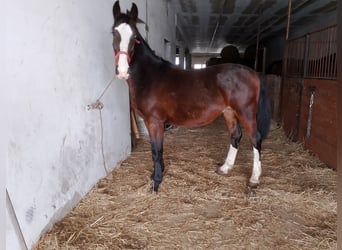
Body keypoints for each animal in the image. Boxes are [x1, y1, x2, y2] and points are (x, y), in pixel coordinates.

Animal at [111, 1, 270, 193]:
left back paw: (254, 179)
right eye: (113, 32)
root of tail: (253, 73)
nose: (122, 70)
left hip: (246, 113)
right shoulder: (151, 123)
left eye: (134, 35)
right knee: (236, 135)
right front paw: (155, 175)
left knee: (255, 139)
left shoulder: (155, 122)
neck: (150, 76)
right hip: (229, 112)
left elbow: (156, 151)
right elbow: (155, 150)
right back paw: (225, 168)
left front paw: (156, 183)